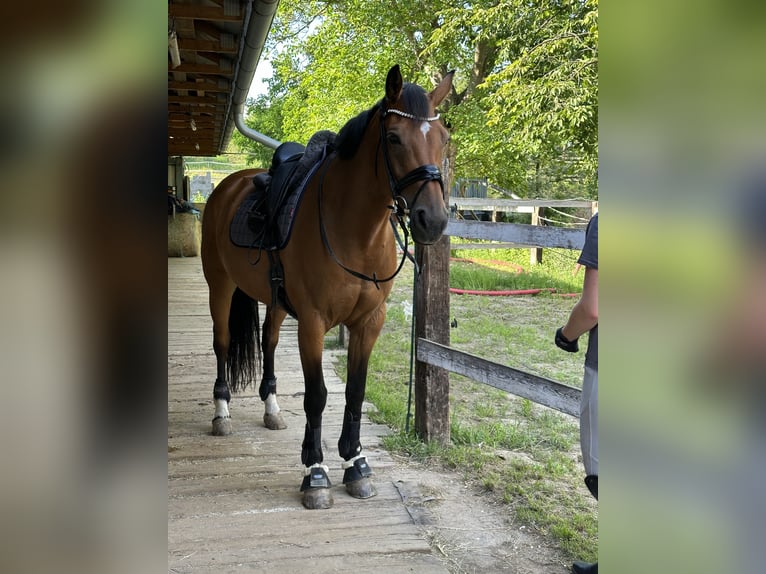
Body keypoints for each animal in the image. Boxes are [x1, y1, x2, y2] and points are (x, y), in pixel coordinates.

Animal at [202, 65, 456, 510]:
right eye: (394, 138)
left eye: (443, 137)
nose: (434, 220)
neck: (354, 230)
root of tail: (227, 186)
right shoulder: (313, 323)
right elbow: (317, 396)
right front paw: (315, 472)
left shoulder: (369, 322)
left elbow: (354, 391)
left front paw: (355, 463)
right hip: (221, 286)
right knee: (222, 343)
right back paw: (222, 413)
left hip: (276, 301)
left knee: (268, 342)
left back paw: (271, 408)